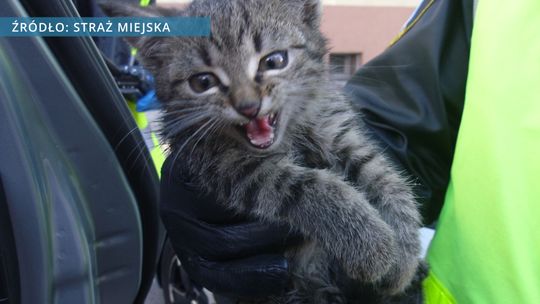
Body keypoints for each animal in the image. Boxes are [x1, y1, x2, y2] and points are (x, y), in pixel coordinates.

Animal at [100, 1, 422, 302]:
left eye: (274, 60)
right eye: (202, 82)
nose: (248, 106)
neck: (289, 133)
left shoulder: (335, 127)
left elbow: (383, 175)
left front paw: (404, 256)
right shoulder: (224, 166)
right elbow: (306, 185)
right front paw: (369, 242)